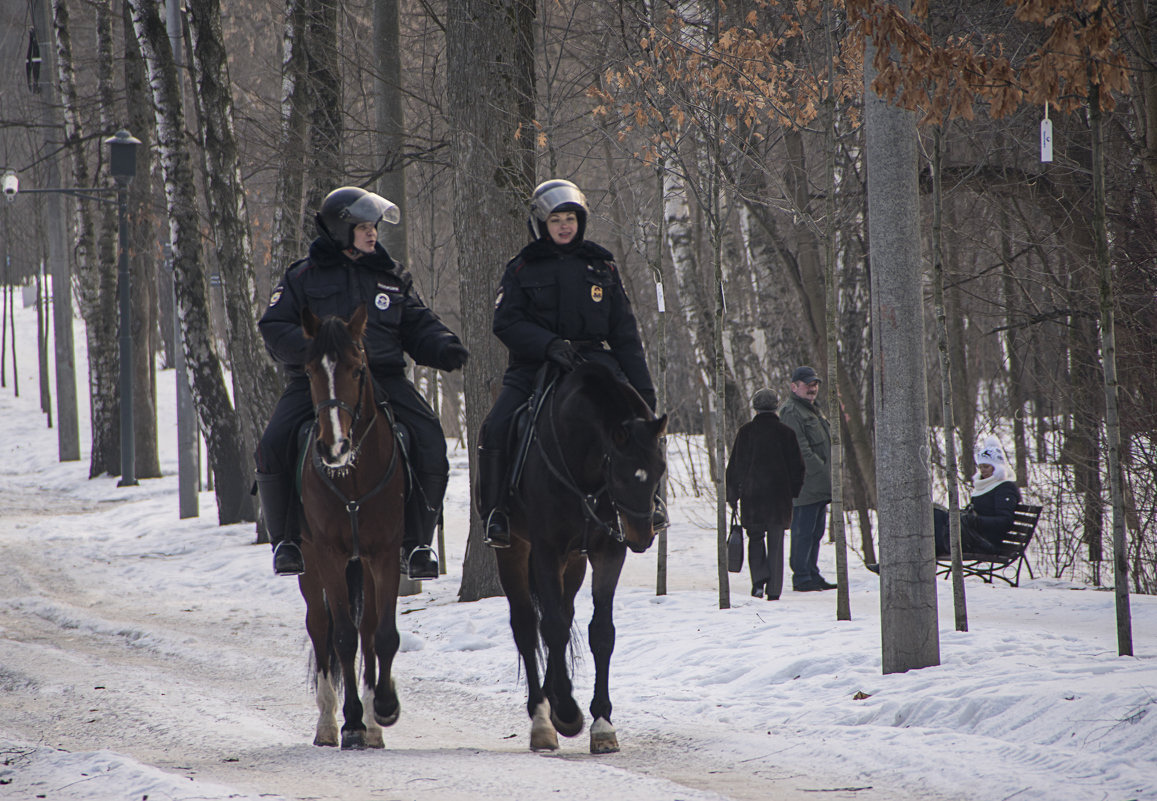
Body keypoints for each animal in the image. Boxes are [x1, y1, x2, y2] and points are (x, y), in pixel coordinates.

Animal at [492, 358, 666, 754]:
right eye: (622, 473)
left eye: (661, 469)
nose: (642, 536)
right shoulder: (545, 549)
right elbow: (553, 628)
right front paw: (568, 712)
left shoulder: (608, 552)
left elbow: (600, 632)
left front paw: (601, 722)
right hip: (515, 553)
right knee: (528, 626)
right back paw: (542, 714)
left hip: (574, 562)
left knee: (561, 612)